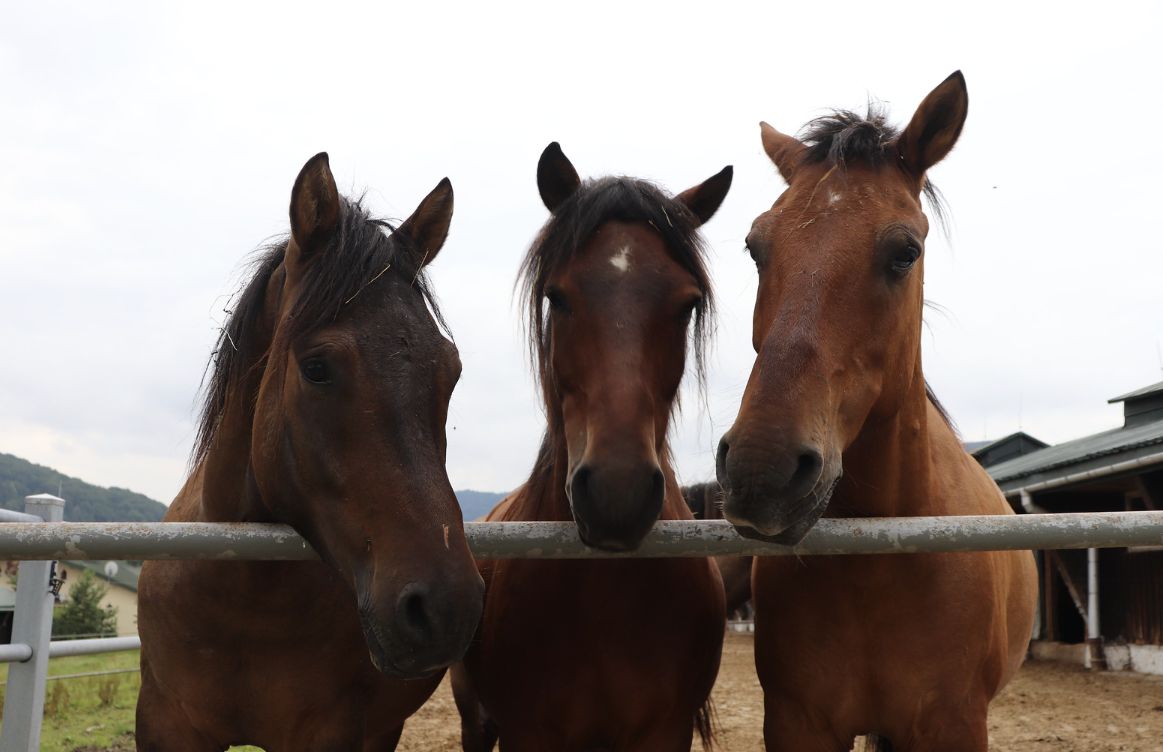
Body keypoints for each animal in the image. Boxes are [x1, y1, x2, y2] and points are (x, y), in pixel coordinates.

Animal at [136, 154, 481, 752]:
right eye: (317, 367)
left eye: (451, 371)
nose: (446, 607)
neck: (242, 602)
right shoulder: (163, 724)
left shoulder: (333, 730)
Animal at [716, 72, 1037, 752]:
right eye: (755, 247)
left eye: (905, 252)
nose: (762, 470)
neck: (880, 561)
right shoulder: (798, 722)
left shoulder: (954, 724)